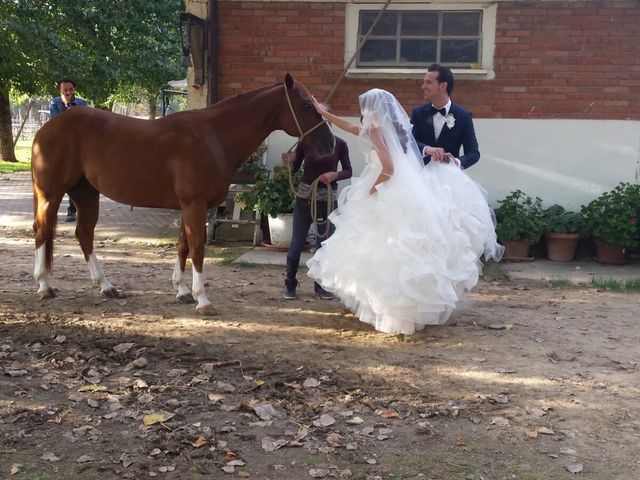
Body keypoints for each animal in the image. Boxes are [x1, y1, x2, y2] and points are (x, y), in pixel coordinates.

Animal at [31, 73, 336, 316]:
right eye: (306, 105)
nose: (330, 143)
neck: (212, 136)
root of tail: (47, 128)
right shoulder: (194, 204)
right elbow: (197, 248)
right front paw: (203, 300)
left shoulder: (190, 207)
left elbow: (182, 246)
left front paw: (182, 291)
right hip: (52, 194)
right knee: (42, 230)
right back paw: (44, 285)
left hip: (86, 193)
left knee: (84, 233)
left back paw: (106, 286)